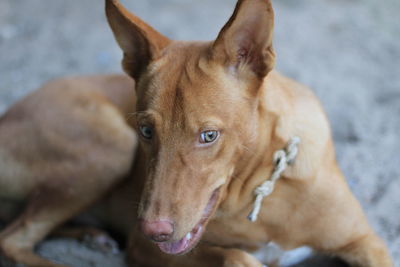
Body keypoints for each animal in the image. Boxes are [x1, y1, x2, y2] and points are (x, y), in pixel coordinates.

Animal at [0, 0, 394, 267]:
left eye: (208, 136)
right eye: (146, 130)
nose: (153, 230)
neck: (262, 190)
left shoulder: (366, 242)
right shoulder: (149, 249)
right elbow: (237, 256)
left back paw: (93, 236)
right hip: (111, 146)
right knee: (12, 239)